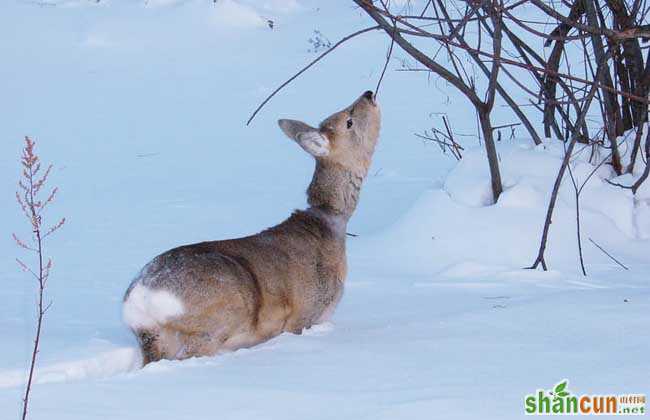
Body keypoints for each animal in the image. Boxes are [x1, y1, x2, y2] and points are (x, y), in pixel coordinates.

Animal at [121, 91, 380, 364]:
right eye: (348, 121)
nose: (368, 93)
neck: (329, 223)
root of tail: (139, 302)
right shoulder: (305, 313)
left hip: (156, 338)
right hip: (216, 320)